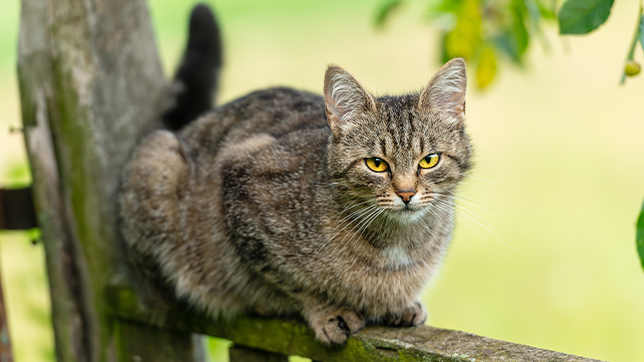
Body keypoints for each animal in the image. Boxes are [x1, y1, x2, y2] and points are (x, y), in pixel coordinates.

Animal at [122, 4, 472, 346]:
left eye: (429, 160)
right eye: (376, 164)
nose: (406, 193)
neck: (397, 244)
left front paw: (398, 304)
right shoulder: (242, 184)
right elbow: (289, 280)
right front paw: (326, 310)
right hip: (158, 163)